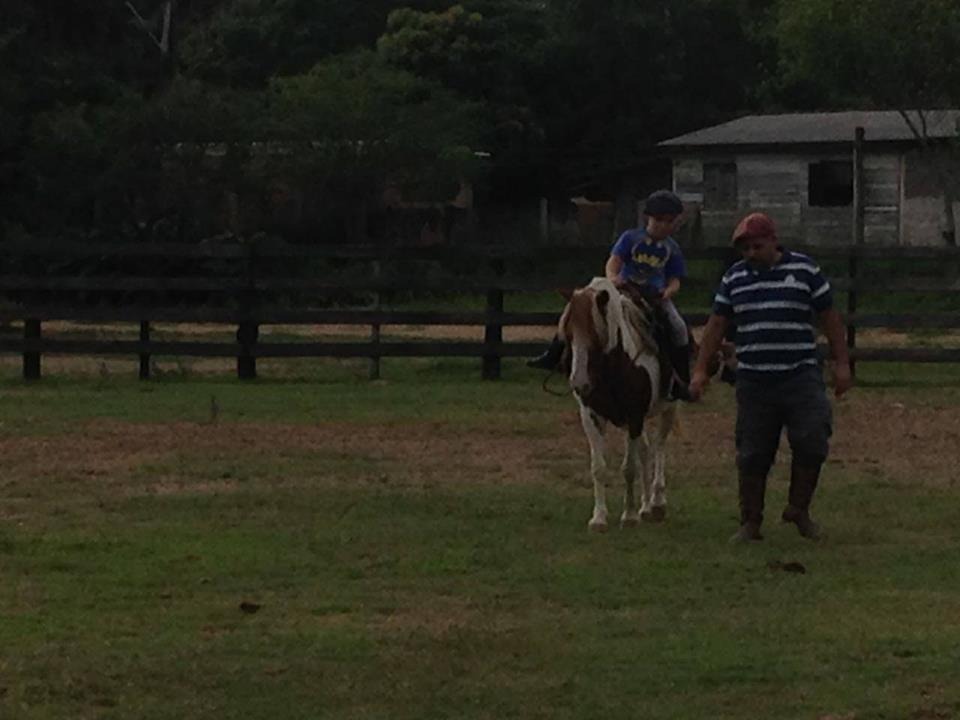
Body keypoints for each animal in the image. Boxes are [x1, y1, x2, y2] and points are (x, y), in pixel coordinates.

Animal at [556, 278, 684, 532]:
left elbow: (629, 468)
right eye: (568, 333)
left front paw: (629, 516)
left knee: (659, 447)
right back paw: (646, 506)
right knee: (646, 450)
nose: (579, 383)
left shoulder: (634, 416)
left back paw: (657, 503)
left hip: (667, 410)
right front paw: (599, 518)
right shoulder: (592, 416)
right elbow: (598, 467)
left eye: (595, 334)